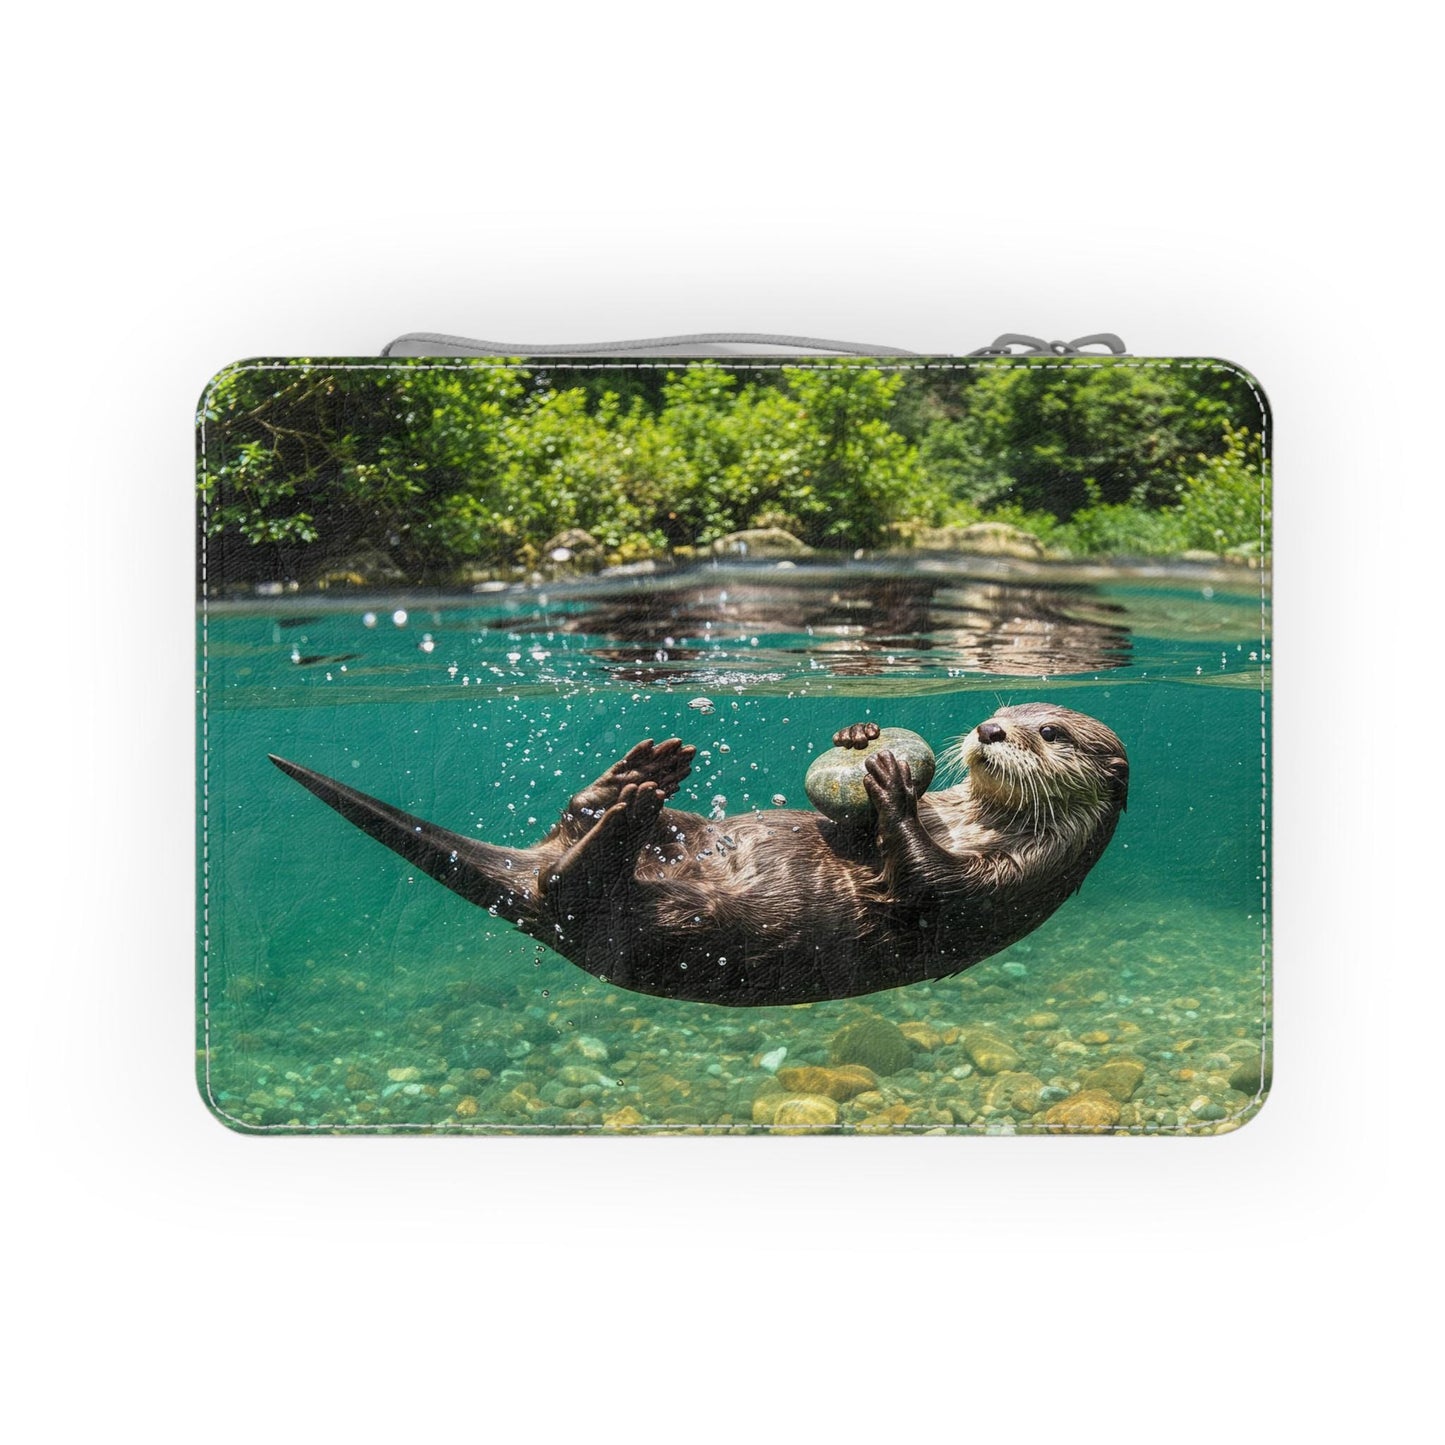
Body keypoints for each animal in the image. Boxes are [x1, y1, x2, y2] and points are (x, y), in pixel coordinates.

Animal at [270, 703, 1127, 1007]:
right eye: (1001, 706)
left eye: (1048, 731)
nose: (988, 729)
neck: (975, 828)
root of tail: (526, 894)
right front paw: (860, 739)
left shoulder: (1002, 888)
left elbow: (920, 885)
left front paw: (889, 785)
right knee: (576, 827)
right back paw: (635, 777)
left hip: (653, 924)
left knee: (574, 883)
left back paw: (625, 812)